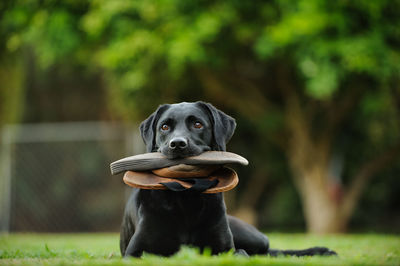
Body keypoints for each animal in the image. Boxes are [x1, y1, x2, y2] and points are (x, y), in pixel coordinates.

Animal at [119, 102, 338, 258]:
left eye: (198, 124)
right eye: (164, 127)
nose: (178, 144)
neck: (186, 198)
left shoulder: (224, 248)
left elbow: (240, 254)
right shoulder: (134, 253)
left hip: (250, 236)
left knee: (268, 252)